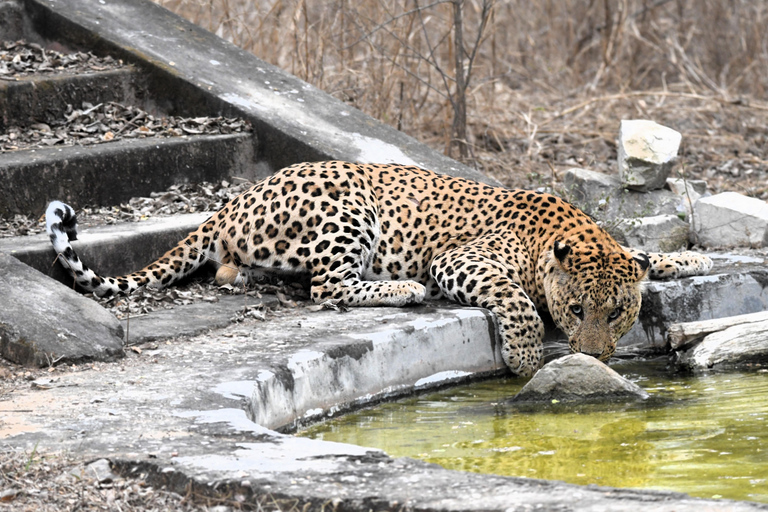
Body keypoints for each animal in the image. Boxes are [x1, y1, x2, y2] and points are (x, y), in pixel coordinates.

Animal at [45, 162, 712, 378]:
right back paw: (404, 287)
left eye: (618, 312)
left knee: (244, 274)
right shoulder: (461, 258)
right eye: (576, 311)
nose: (597, 359)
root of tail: (230, 203)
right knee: (327, 287)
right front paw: (525, 357)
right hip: (347, 209)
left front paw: (688, 256)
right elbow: (516, 299)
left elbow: (643, 252)